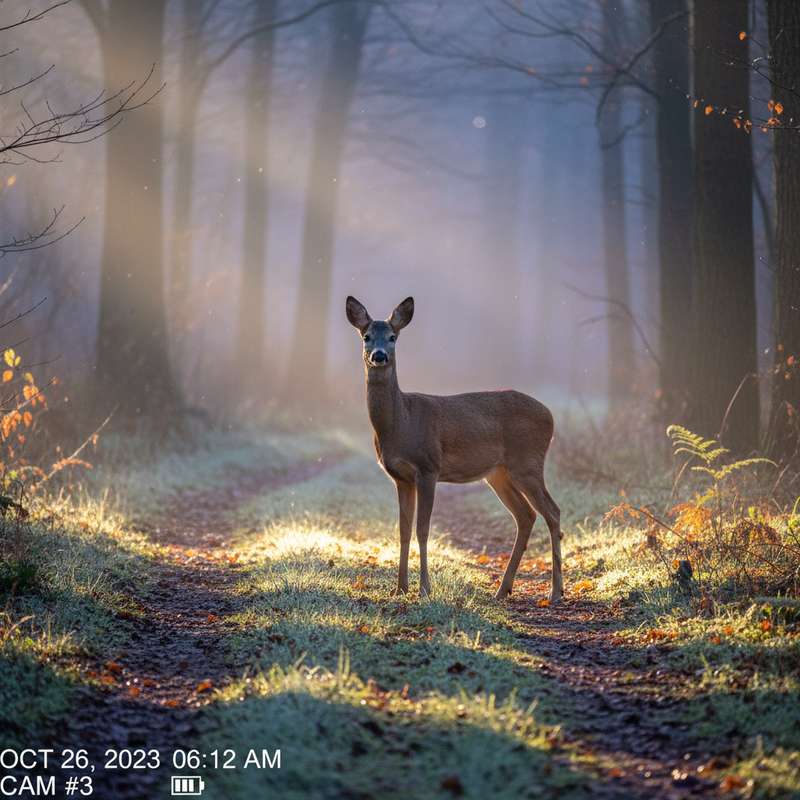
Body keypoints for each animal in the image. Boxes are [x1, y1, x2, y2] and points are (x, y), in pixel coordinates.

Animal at [346, 295, 563, 603]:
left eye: (392, 337)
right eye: (366, 336)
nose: (379, 355)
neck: (401, 422)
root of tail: (550, 416)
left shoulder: (428, 468)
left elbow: (423, 530)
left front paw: (424, 589)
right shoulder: (400, 477)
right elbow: (403, 530)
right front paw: (400, 588)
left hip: (527, 462)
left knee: (552, 512)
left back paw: (556, 592)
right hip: (498, 473)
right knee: (526, 515)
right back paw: (503, 590)